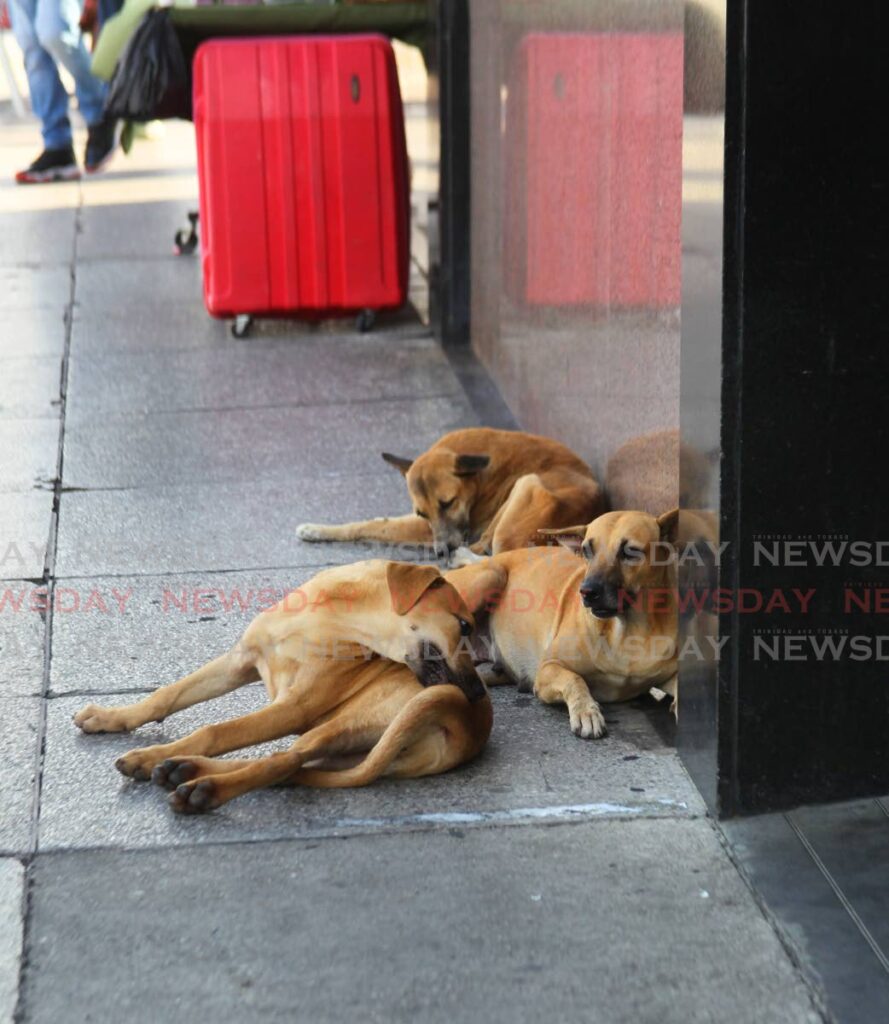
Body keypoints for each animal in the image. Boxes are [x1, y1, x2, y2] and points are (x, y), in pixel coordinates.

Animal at [74, 561, 493, 815]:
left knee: (283, 761)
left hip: (354, 720)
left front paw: (153, 751)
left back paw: (201, 787)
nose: (476, 693)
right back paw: (179, 769)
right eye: (464, 626)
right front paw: (111, 717)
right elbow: (168, 694)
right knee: (292, 764)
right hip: (356, 746)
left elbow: (215, 731)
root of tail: (468, 729)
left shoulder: (293, 708)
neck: (330, 618)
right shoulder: (238, 661)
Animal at [297, 428, 602, 565]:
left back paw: (460, 557)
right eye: (422, 511)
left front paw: (316, 529)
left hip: (524, 487)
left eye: (448, 503)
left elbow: (372, 524)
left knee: (496, 558)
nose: (440, 550)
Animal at [444, 509, 680, 737]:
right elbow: (575, 679)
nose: (587, 591)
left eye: (629, 551)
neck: (628, 630)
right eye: (587, 550)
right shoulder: (548, 668)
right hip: (491, 576)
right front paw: (586, 710)